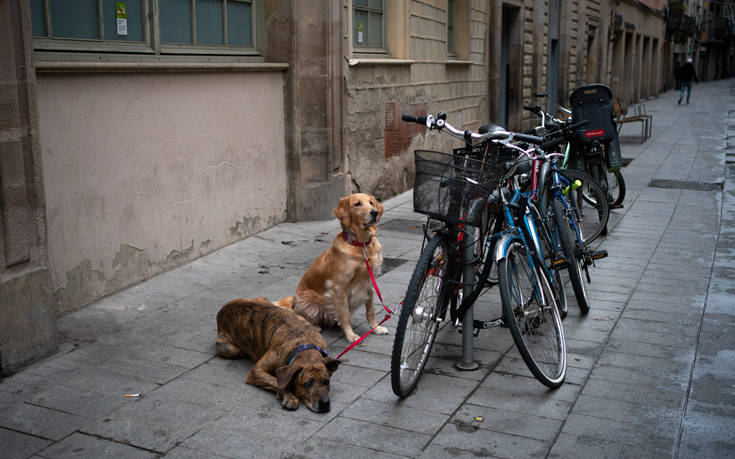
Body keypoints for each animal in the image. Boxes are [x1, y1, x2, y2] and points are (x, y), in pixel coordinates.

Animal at [214, 298, 344, 414]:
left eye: (326, 381)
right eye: (307, 384)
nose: (325, 404)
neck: (304, 348)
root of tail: (222, 309)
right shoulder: (256, 371)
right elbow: (277, 381)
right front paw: (289, 396)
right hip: (230, 348)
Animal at [282, 193, 388, 342]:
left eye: (371, 203)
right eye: (357, 204)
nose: (374, 212)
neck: (361, 245)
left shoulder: (369, 283)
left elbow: (370, 311)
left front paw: (376, 328)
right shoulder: (339, 288)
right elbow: (345, 315)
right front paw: (350, 335)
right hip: (308, 298)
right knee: (301, 317)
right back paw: (315, 327)